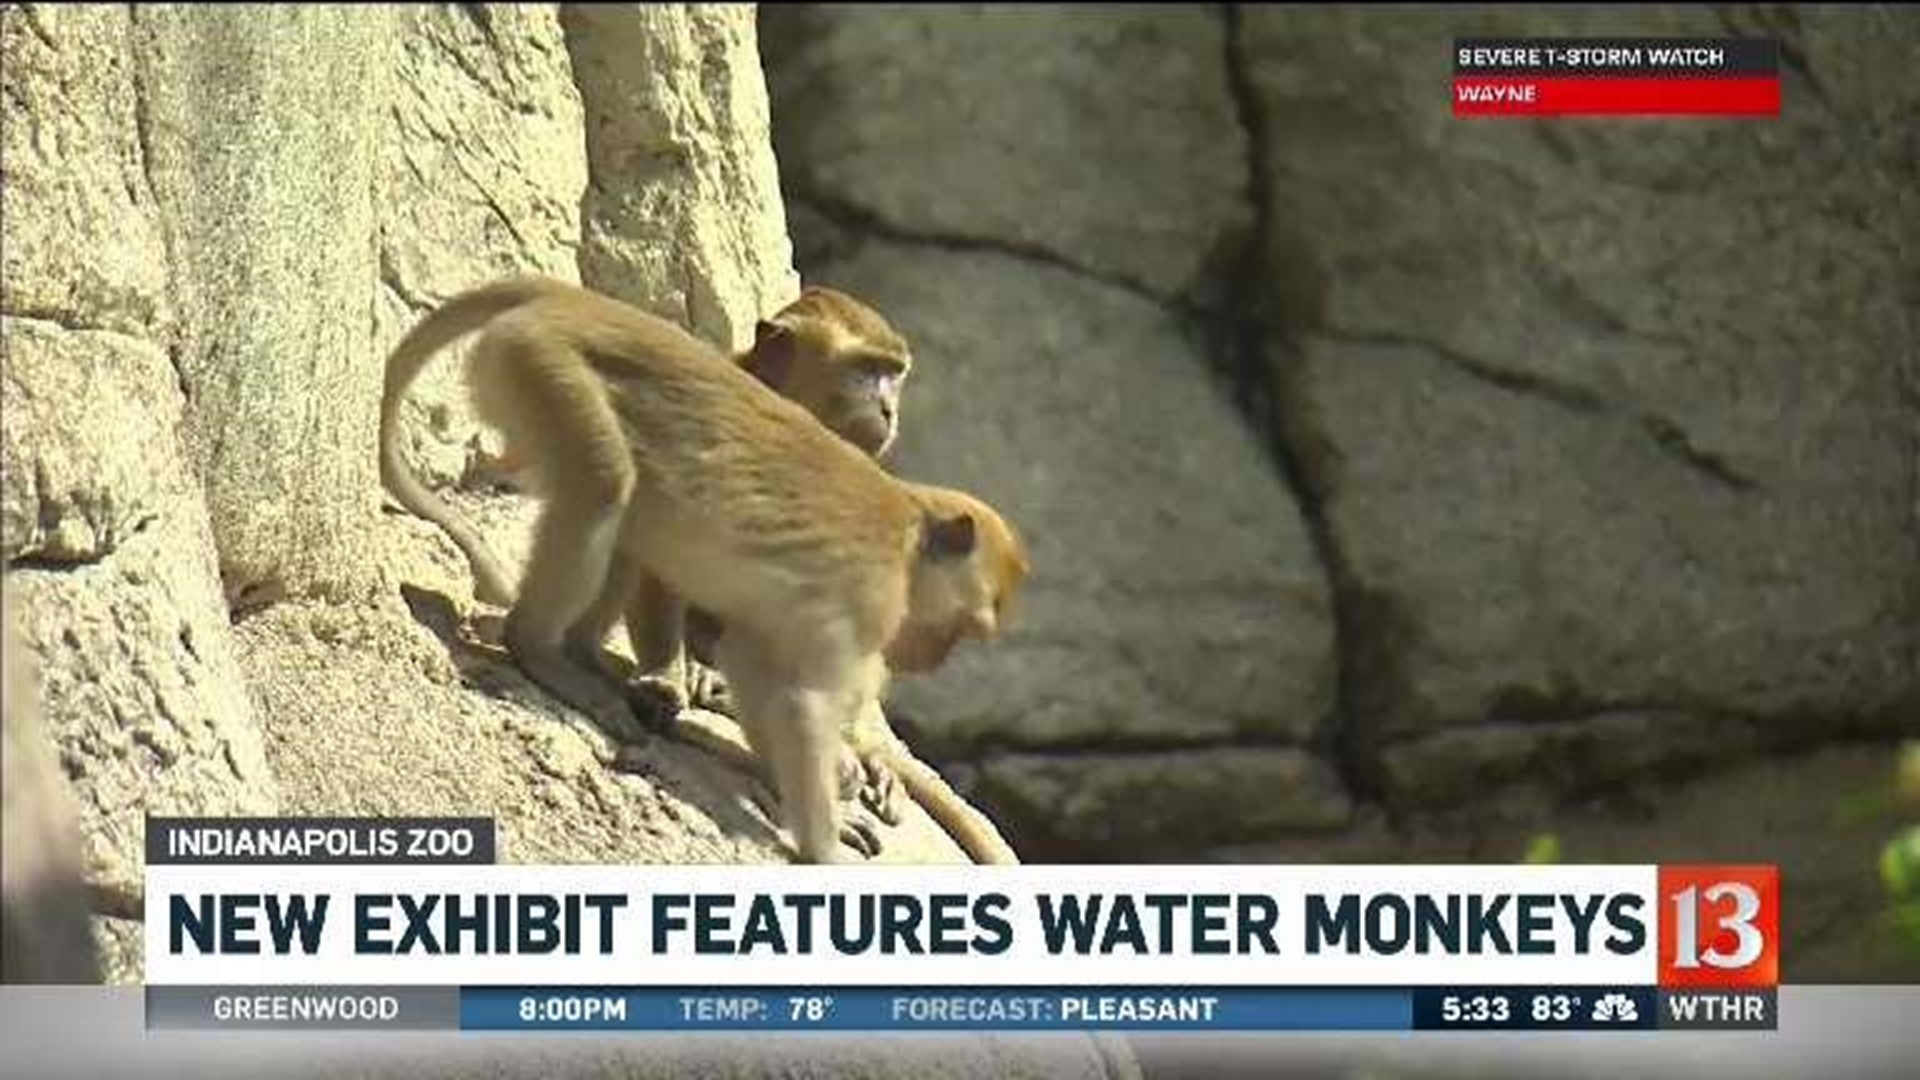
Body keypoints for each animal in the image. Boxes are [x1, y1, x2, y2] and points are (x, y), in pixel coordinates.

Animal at [380, 274, 1029, 857]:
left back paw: (591, 657)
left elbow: (757, 665)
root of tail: (564, 296)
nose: (888, 407)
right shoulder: (868, 599)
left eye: (893, 374)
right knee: (606, 486)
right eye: (867, 371)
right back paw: (545, 651)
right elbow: (800, 702)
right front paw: (824, 840)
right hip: (547, 369)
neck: (911, 538)